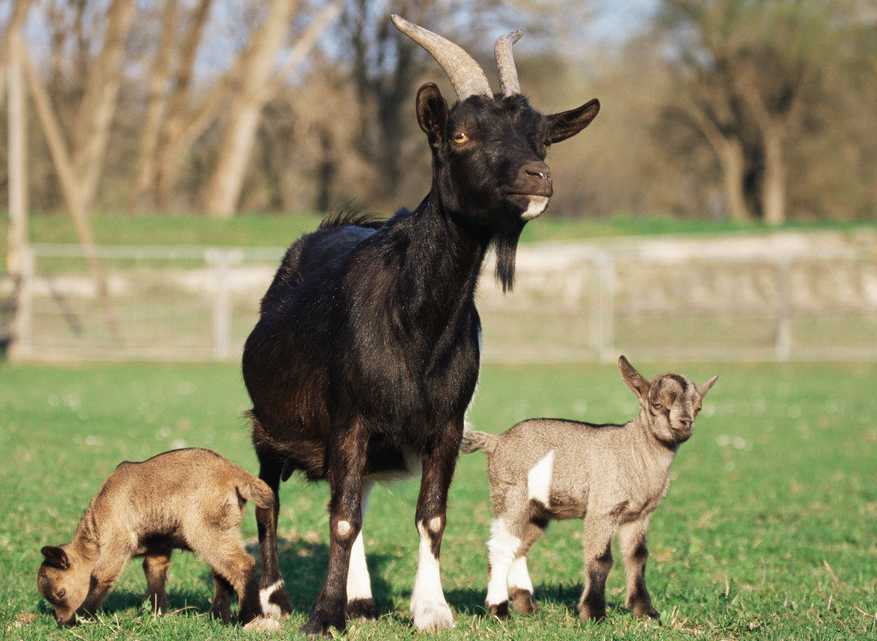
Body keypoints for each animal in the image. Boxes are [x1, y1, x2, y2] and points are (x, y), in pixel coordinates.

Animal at [240, 15, 600, 636]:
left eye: (542, 138)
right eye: (460, 136)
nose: (538, 176)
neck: (415, 325)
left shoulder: (446, 426)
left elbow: (427, 516)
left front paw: (431, 610)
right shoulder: (350, 417)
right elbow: (339, 519)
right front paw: (322, 616)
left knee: (351, 495)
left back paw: (360, 598)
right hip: (270, 424)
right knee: (273, 502)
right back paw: (272, 604)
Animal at [462, 356, 716, 620]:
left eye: (698, 407)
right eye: (657, 404)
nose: (685, 423)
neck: (636, 450)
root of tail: (497, 441)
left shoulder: (639, 516)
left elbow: (637, 557)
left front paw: (645, 611)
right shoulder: (603, 508)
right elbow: (601, 558)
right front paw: (593, 612)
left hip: (537, 509)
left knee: (520, 546)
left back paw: (526, 605)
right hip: (510, 495)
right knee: (501, 546)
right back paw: (499, 609)